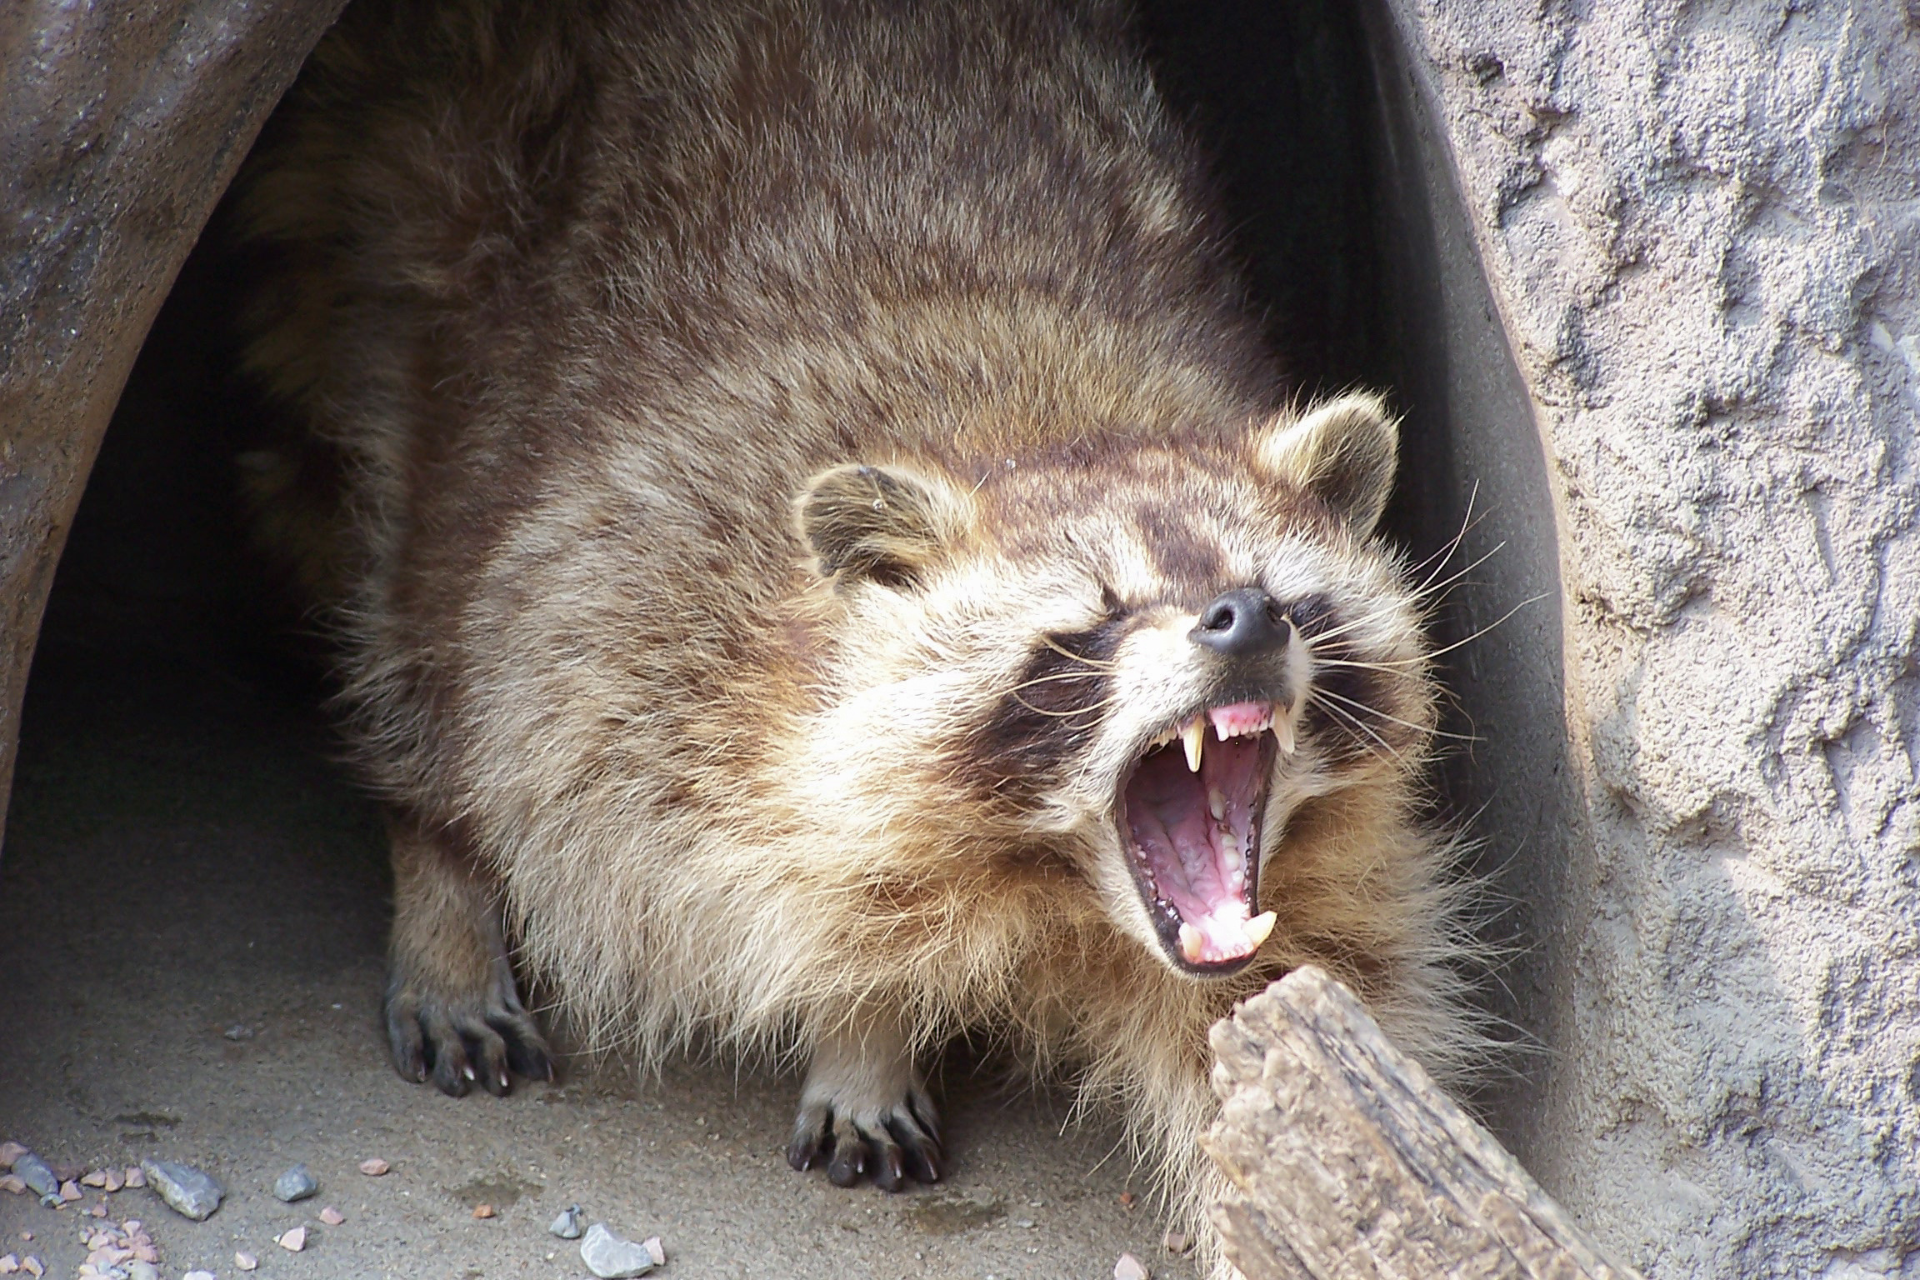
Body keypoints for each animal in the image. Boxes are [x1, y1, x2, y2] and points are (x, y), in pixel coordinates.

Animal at [236, 0, 1466, 1266]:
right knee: (421, 592)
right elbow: (671, 831)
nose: (1245, 621)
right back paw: (437, 866)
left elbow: (1286, 1013)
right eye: (1098, 619)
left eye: (1283, 594)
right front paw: (861, 1009)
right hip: (434, 244)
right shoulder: (641, 596)